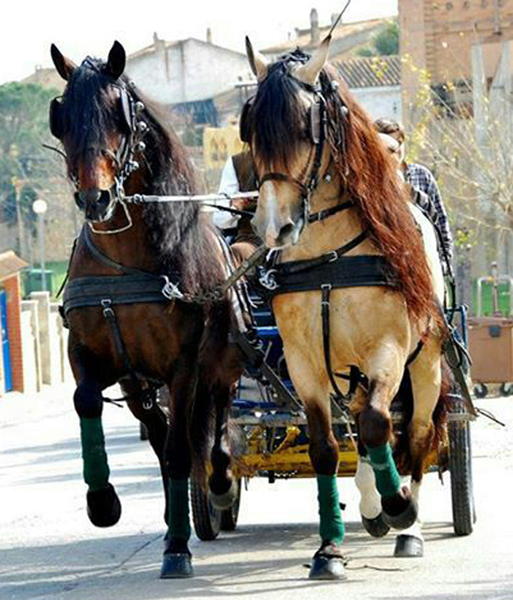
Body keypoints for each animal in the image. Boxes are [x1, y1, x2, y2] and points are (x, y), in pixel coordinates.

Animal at [49, 41, 242, 576]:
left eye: (118, 118)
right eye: (62, 118)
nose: (95, 198)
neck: (125, 263)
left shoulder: (183, 366)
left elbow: (181, 451)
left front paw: (177, 547)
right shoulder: (87, 354)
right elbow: (86, 402)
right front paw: (101, 501)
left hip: (220, 365)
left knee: (215, 422)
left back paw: (218, 485)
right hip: (139, 386)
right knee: (159, 434)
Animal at [243, 35, 448, 580]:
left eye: (304, 129)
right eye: (250, 130)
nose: (273, 227)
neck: (330, 258)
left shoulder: (390, 348)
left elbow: (379, 424)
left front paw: (400, 506)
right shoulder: (305, 361)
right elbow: (327, 447)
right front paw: (329, 549)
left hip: (426, 363)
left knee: (414, 435)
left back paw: (408, 523)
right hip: (348, 370)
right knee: (359, 427)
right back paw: (372, 506)